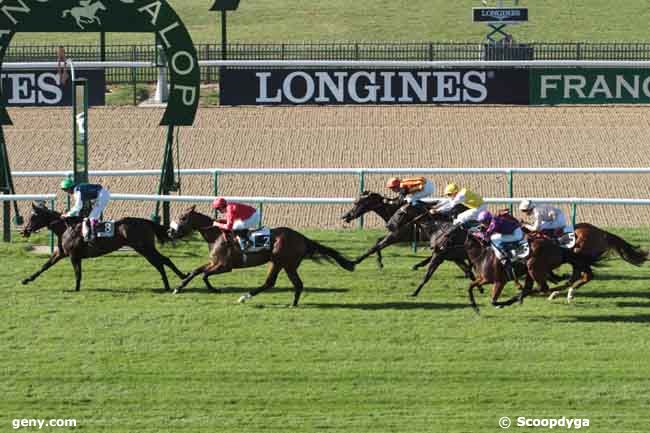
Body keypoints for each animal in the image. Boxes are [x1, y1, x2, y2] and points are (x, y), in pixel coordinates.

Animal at [20, 202, 186, 290]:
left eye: (33, 217)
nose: (24, 231)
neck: (65, 228)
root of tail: (146, 222)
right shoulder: (61, 254)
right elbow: (44, 266)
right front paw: (26, 279)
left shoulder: (73, 256)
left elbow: (77, 273)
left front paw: (76, 289)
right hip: (146, 248)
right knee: (163, 261)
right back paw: (176, 280)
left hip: (144, 248)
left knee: (160, 262)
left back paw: (173, 281)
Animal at [166, 205, 350, 304]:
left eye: (183, 217)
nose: (169, 232)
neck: (216, 235)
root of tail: (302, 238)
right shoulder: (214, 262)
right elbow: (195, 271)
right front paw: (178, 287)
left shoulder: (225, 266)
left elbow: (204, 275)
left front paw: (215, 290)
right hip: (286, 264)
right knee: (294, 284)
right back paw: (293, 304)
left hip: (280, 261)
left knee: (271, 282)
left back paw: (244, 297)